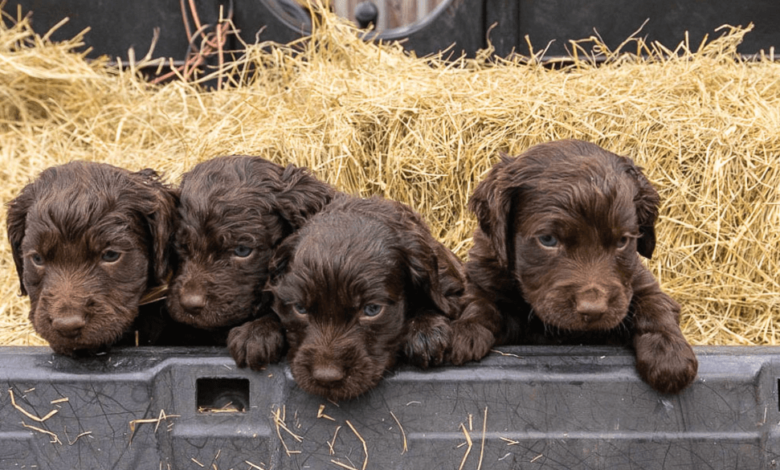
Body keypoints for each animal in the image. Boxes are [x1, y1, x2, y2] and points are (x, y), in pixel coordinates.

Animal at [450, 139, 700, 392]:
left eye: (622, 241)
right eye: (548, 239)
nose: (593, 310)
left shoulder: (638, 282)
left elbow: (655, 304)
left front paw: (669, 354)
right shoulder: (484, 274)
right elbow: (479, 300)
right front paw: (466, 331)